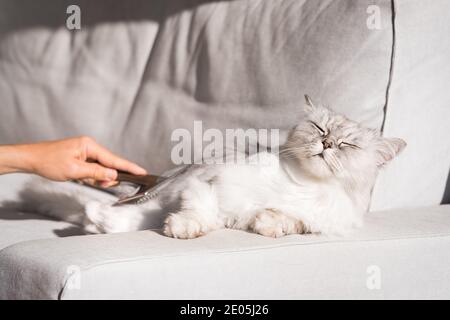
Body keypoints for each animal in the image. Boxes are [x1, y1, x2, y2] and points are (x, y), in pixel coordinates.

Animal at [17, 96, 406, 239]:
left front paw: (267, 224)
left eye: (347, 145)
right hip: (161, 191)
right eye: (320, 130)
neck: (304, 185)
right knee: (116, 212)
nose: (326, 145)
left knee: (114, 219)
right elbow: (201, 211)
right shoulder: (207, 183)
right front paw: (184, 229)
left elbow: (286, 221)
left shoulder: (317, 221)